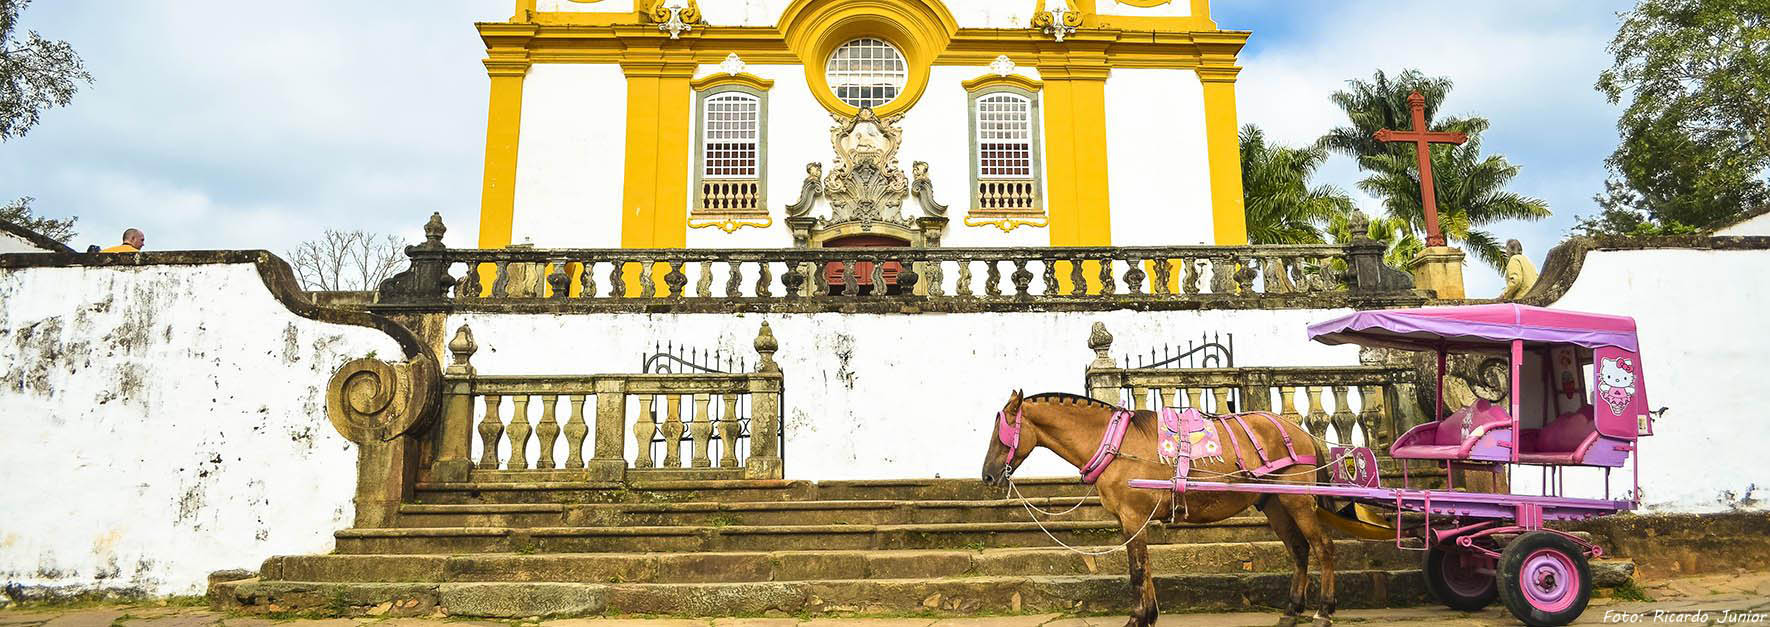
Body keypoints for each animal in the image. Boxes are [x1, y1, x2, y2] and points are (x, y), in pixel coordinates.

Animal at [984, 389, 1338, 623]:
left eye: (1001, 432)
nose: (987, 475)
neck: (1114, 442)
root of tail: (1302, 433)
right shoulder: (1131, 519)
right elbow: (1145, 567)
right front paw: (1149, 615)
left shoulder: (1133, 515)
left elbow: (1138, 570)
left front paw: (1137, 618)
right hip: (1275, 502)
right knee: (1299, 549)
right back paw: (1291, 610)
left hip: (1297, 499)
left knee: (1322, 546)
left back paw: (1323, 609)